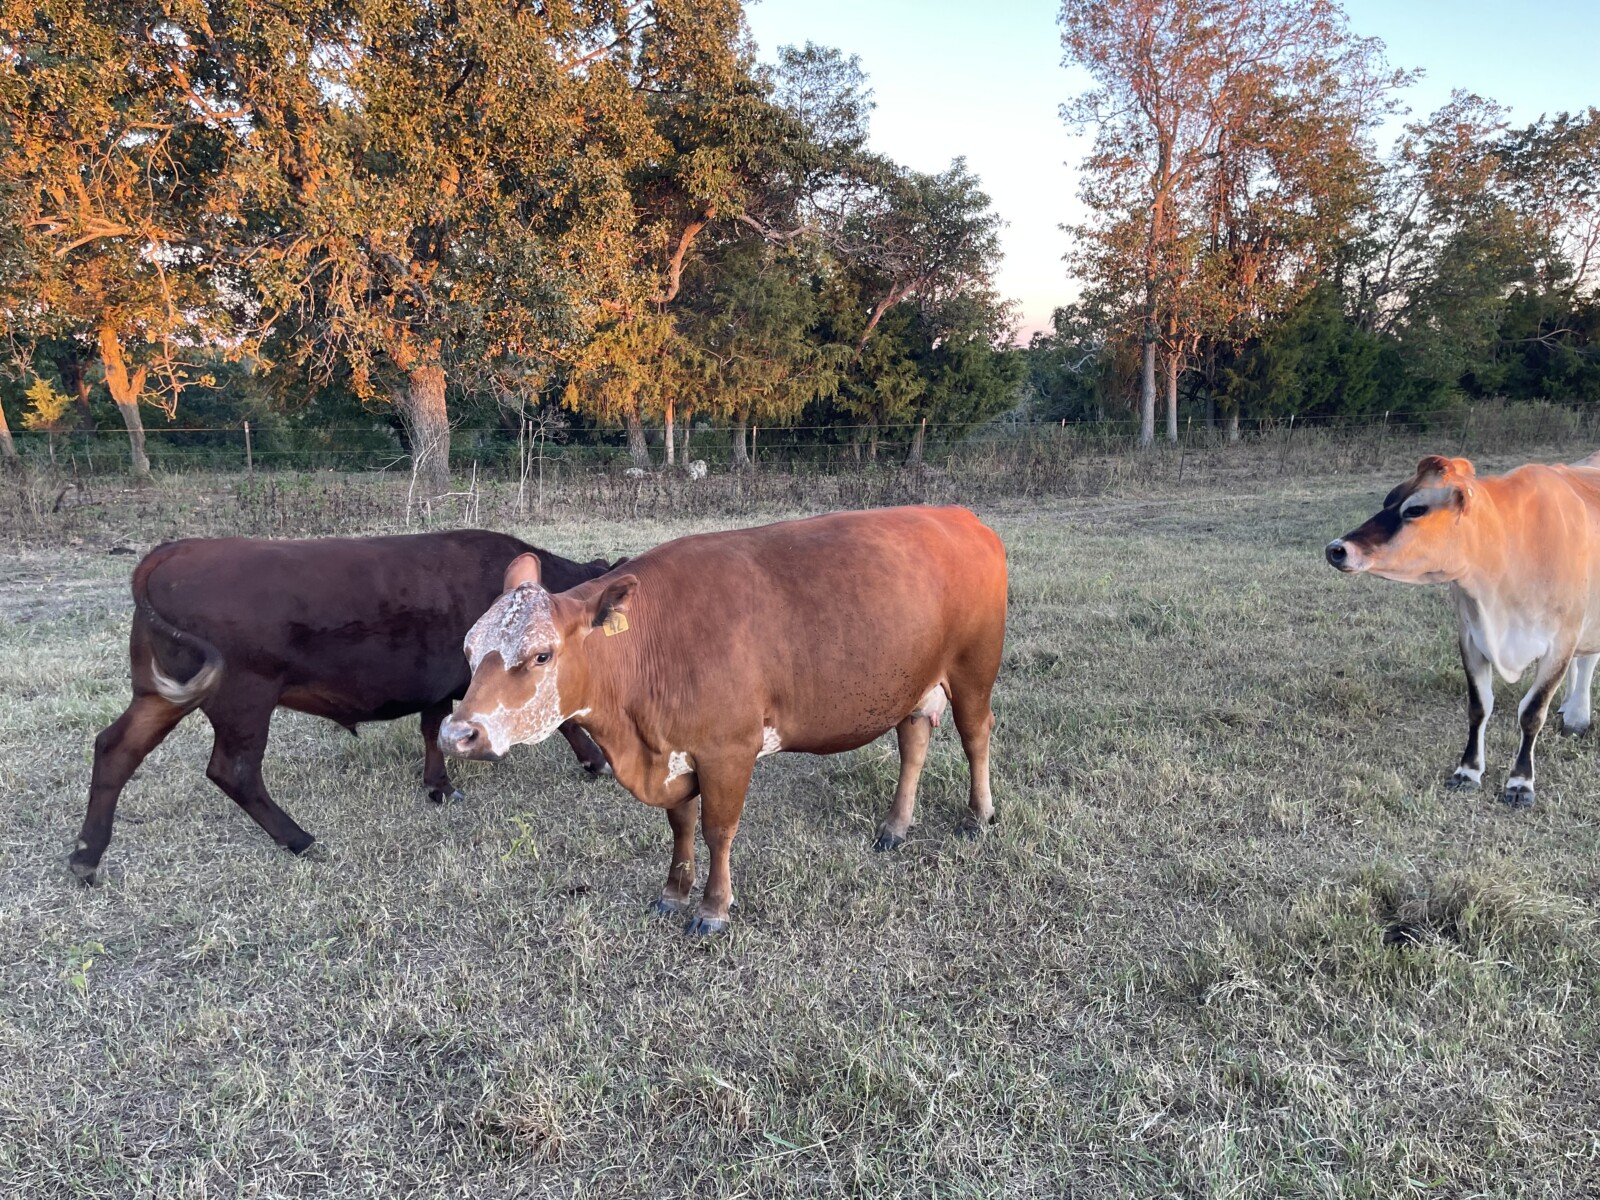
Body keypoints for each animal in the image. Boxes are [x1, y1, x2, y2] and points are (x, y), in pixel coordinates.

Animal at [70, 531, 617, 883]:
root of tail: (173, 551)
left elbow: (433, 729)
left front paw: (438, 785)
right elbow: (559, 721)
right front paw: (595, 761)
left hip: (162, 693)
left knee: (115, 748)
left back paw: (86, 856)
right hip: (244, 696)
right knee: (234, 770)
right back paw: (299, 839)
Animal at [438, 505, 1008, 936]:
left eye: (541, 655)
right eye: (468, 648)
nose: (455, 733)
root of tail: (957, 515)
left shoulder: (728, 750)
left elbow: (717, 829)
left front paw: (713, 908)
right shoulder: (673, 750)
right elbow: (681, 824)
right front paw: (673, 893)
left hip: (973, 669)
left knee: (976, 735)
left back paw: (978, 814)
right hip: (912, 682)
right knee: (913, 741)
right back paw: (895, 826)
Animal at [1326, 453, 1600, 809]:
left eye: (1415, 509)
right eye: (1389, 499)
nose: (1336, 548)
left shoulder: (1561, 642)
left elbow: (1532, 712)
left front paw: (1520, 782)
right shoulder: (1470, 637)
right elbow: (1479, 706)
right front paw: (1468, 771)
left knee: (1587, 661)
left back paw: (1578, 716)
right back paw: (1568, 707)